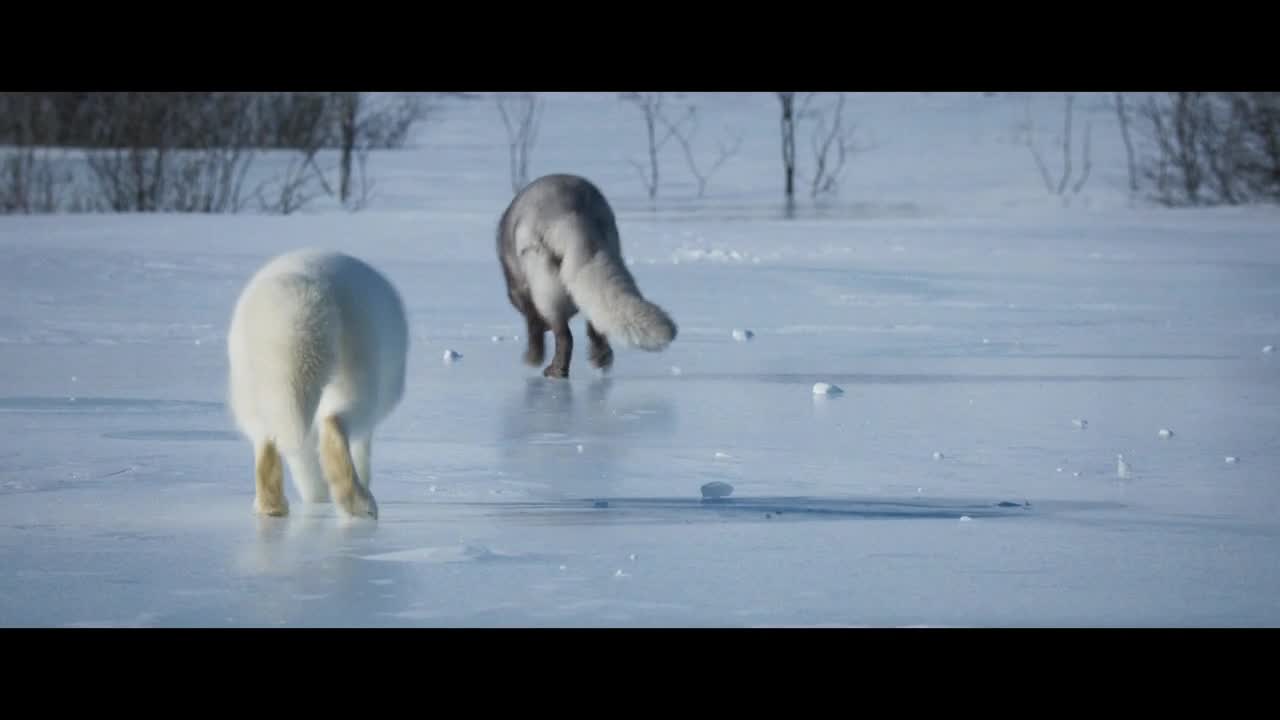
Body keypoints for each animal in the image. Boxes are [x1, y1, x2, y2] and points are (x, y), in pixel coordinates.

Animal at [227, 249, 407, 517]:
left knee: (266, 430)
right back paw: (360, 502)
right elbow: (361, 446)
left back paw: (271, 505)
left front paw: (315, 495)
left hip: (250, 374)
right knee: (341, 416)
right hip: (359, 350)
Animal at [494, 172, 680, 376]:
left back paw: (554, 369)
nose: (545, 328)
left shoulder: (519, 289)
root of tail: (569, 214)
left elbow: (531, 321)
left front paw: (533, 357)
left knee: (565, 336)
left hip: (543, 284)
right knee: (595, 325)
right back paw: (600, 358)